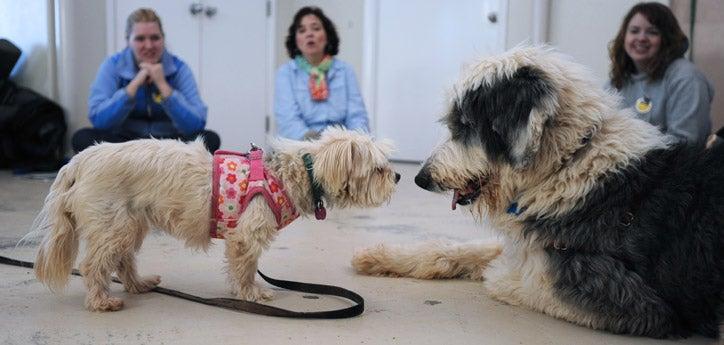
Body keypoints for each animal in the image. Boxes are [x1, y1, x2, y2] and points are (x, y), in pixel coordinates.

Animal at [354, 46, 724, 338]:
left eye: (467, 125)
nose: (421, 178)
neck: (569, 164)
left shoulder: (632, 299)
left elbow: (512, 273)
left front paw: (497, 274)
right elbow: (468, 248)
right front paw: (382, 256)